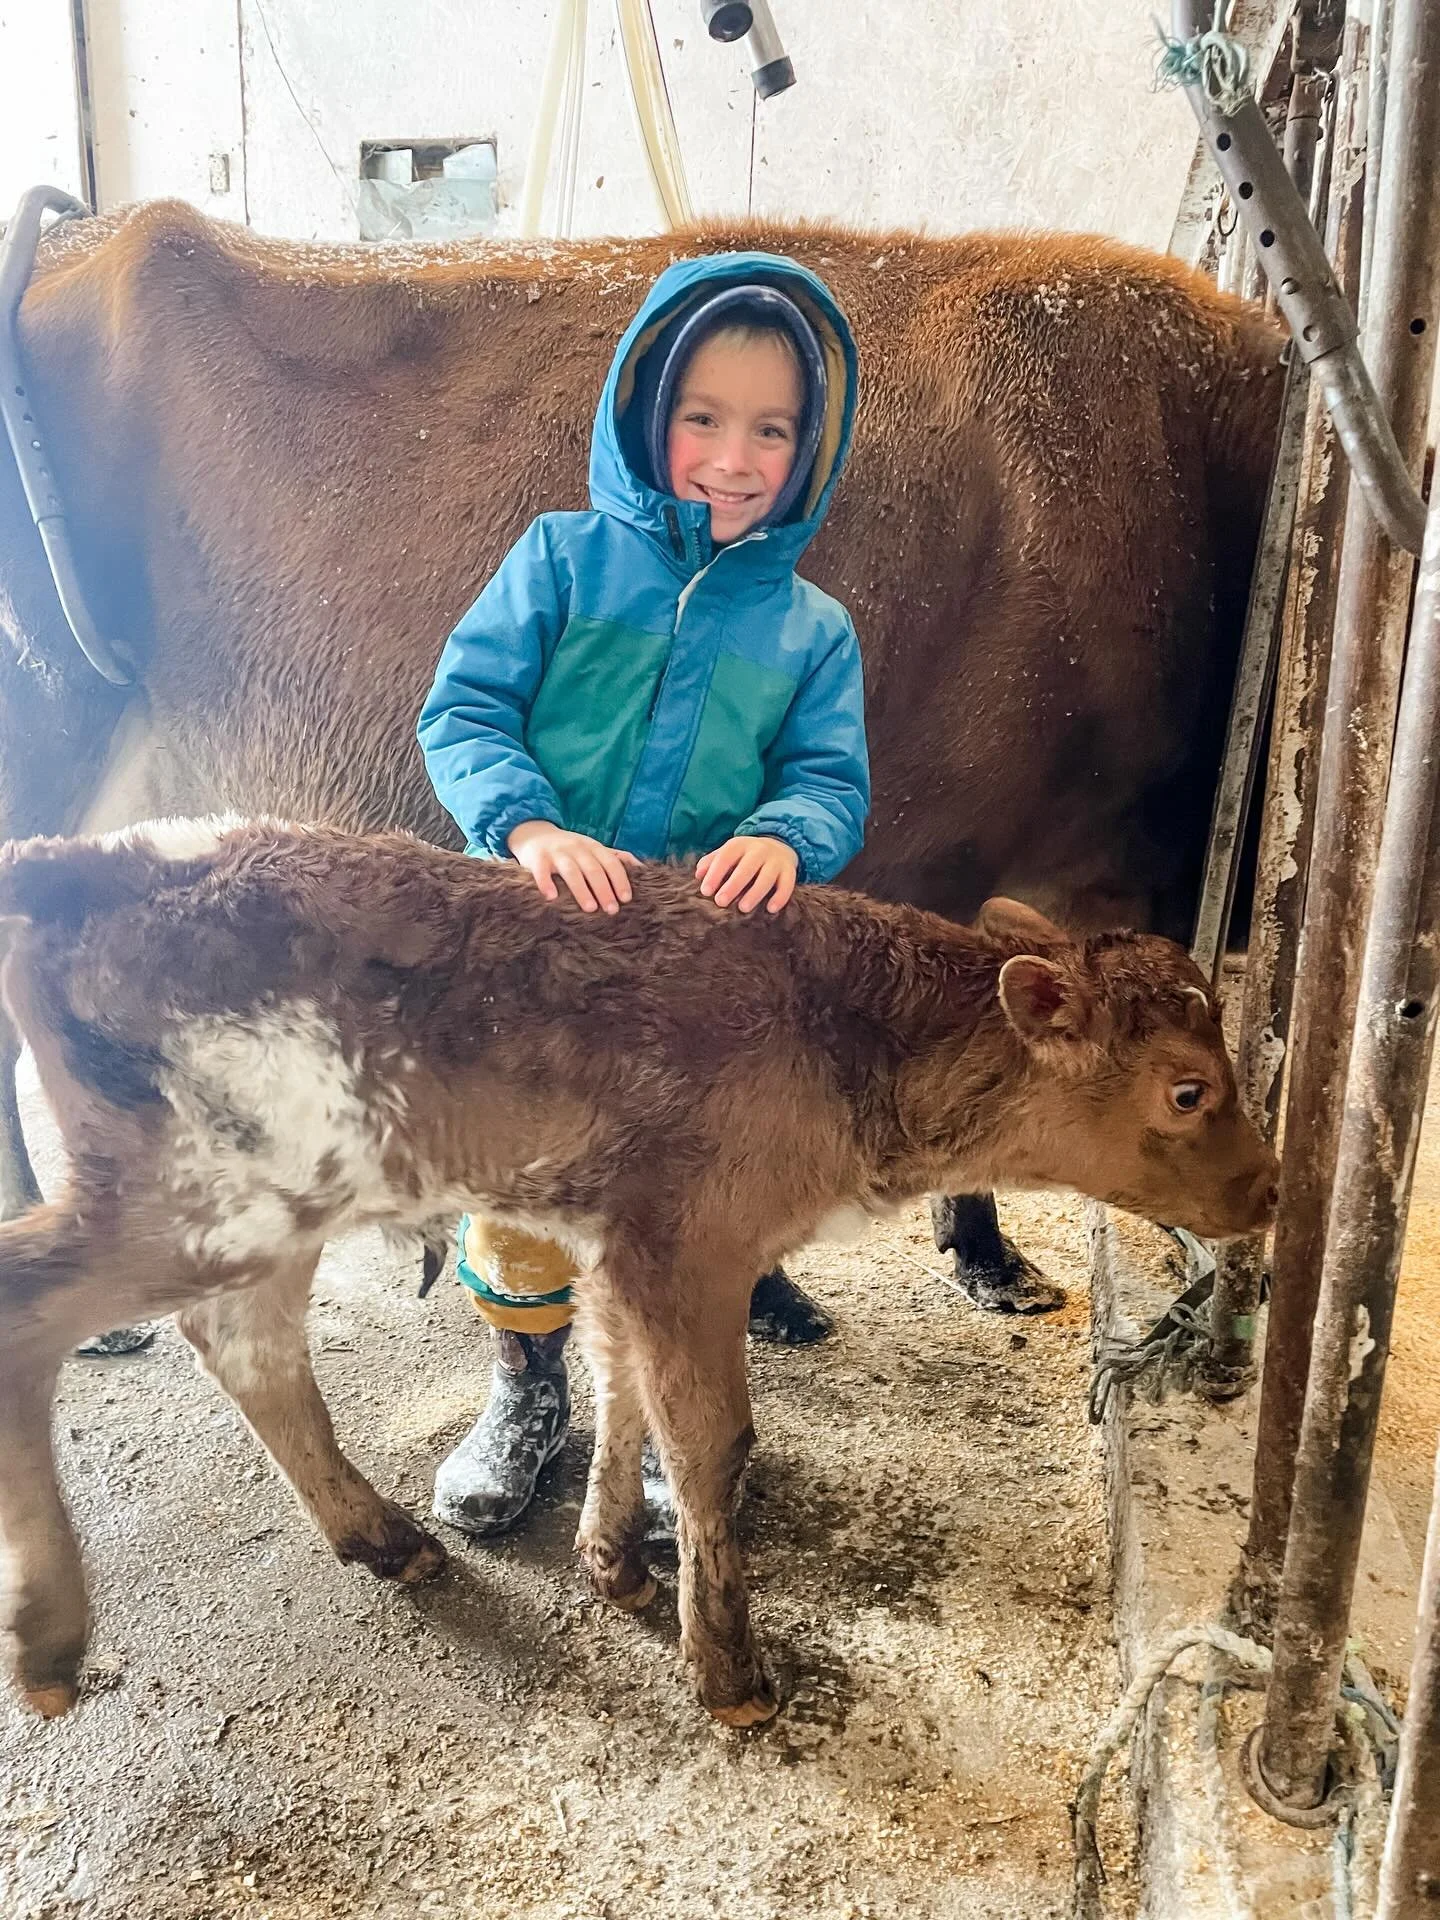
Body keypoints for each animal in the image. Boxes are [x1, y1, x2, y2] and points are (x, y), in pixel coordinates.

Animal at [0, 818, 1278, 1725]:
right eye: (1187, 1090)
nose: (1270, 1191)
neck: (840, 1037)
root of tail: (70, 859)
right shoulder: (690, 1243)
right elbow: (711, 1442)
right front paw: (729, 1671)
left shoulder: (624, 1240)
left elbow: (626, 1395)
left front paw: (613, 1566)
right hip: (190, 1201)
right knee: (36, 1310)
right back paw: (51, 1637)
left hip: (263, 1209)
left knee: (249, 1349)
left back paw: (384, 1539)